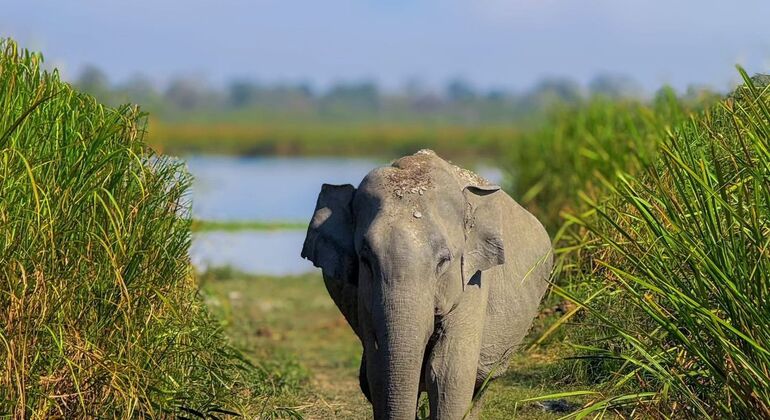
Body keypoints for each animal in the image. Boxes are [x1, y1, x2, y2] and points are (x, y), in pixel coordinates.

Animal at [301, 149, 552, 419]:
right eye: (365, 260)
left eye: (443, 261)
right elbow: (376, 370)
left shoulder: (473, 281)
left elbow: (448, 372)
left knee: (482, 381)